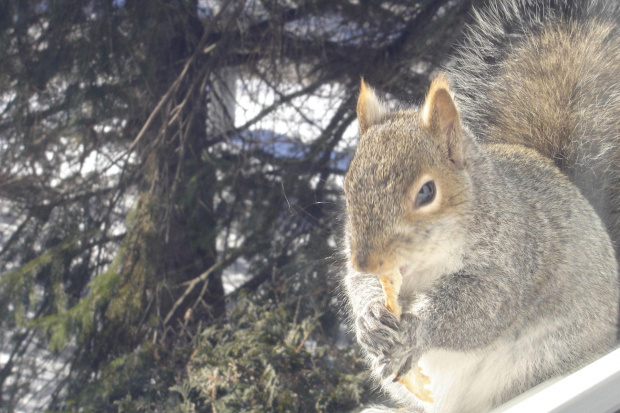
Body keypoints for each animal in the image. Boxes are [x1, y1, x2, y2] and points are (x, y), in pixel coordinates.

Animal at [342, 0, 620, 412]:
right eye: (348, 187)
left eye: (427, 192)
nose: (366, 261)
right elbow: (358, 285)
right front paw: (368, 316)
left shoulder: (514, 255)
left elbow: (482, 305)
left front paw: (418, 328)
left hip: (541, 357)